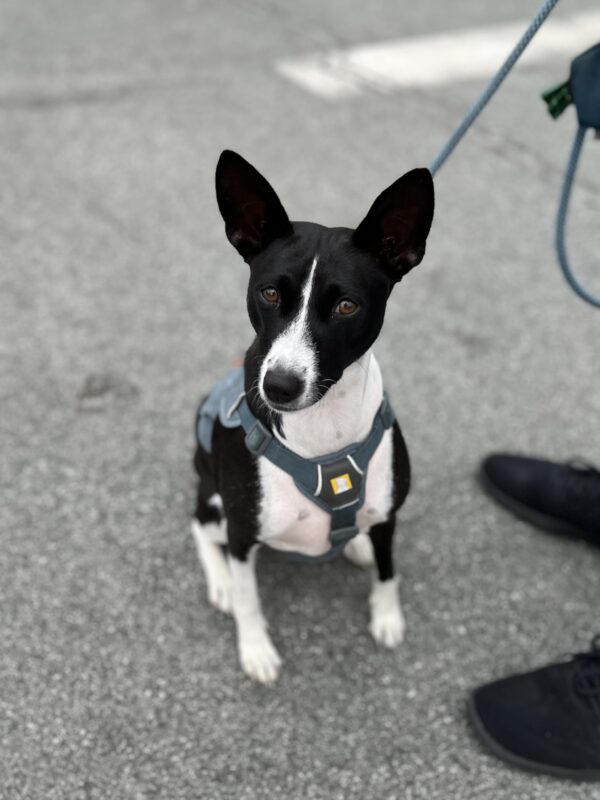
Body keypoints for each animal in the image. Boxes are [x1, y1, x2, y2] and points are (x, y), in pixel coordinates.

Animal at [191, 153, 432, 684]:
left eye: (346, 305)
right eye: (268, 293)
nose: (279, 386)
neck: (324, 434)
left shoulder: (390, 514)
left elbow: (388, 570)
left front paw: (387, 616)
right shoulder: (242, 533)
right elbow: (249, 598)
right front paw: (255, 648)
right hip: (215, 504)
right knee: (199, 526)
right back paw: (220, 583)